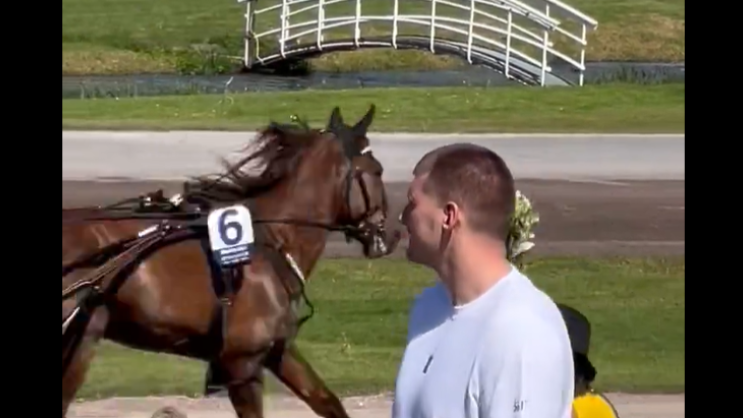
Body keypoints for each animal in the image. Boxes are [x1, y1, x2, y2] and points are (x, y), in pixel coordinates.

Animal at [62, 104, 401, 418]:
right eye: (378, 170)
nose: (392, 234)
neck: (270, 240)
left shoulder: (278, 351)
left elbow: (328, 401)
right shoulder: (243, 364)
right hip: (82, 339)